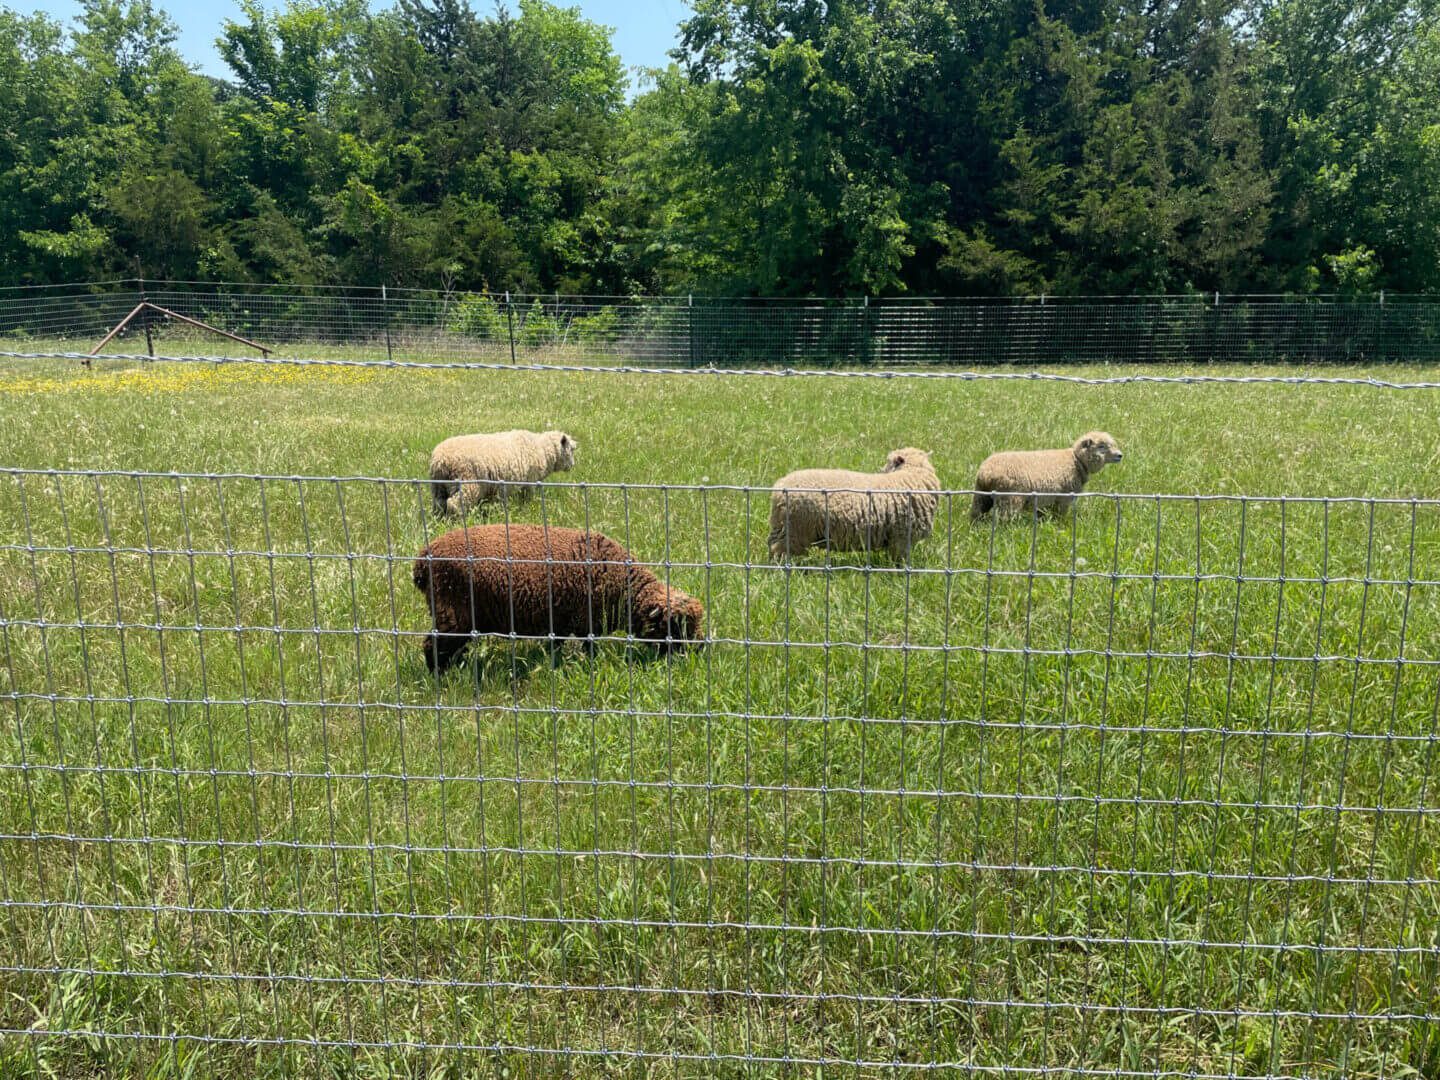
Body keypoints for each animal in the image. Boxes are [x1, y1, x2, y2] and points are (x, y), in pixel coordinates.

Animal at [411, 527, 702, 676]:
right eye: (675, 627)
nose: (699, 650)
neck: (624, 589)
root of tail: (422, 560)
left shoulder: (561, 621)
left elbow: (556, 646)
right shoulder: (587, 623)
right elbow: (588, 650)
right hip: (452, 613)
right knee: (432, 646)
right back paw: (440, 679)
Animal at [429, 429, 576, 518]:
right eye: (572, 449)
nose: (572, 466)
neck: (542, 449)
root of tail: (440, 460)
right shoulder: (529, 482)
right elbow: (526, 499)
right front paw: (528, 509)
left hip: (439, 486)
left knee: (440, 504)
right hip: (467, 483)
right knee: (454, 504)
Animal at [766, 449, 944, 561]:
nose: (881, 470)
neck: (912, 474)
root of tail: (780, 487)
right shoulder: (901, 537)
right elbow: (899, 562)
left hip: (782, 526)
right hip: (797, 529)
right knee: (779, 550)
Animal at [967, 432, 1123, 524]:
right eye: (1101, 446)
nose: (1120, 455)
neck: (1076, 461)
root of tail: (986, 473)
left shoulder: (1045, 500)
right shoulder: (1064, 498)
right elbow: (1060, 516)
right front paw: (1060, 527)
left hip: (981, 495)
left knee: (976, 513)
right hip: (1010, 498)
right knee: (1004, 520)